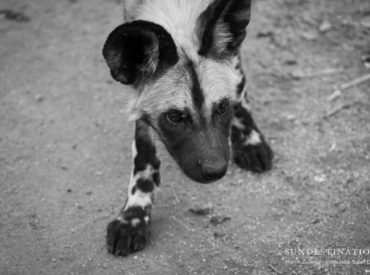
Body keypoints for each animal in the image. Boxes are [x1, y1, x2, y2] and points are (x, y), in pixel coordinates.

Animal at [102, 0, 274, 256]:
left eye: (222, 108)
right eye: (175, 116)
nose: (215, 171)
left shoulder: (231, 56)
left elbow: (237, 83)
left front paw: (249, 138)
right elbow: (144, 155)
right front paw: (133, 216)